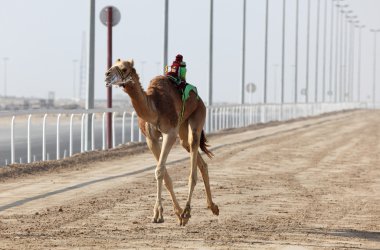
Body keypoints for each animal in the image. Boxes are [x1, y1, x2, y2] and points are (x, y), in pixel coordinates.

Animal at [104, 59, 220, 227]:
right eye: (113, 65)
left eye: (124, 68)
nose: (107, 74)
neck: (154, 108)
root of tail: (199, 99)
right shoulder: (150, 139)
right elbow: (164, 174)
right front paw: (177, 213)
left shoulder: (169, 133)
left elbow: (159, 170)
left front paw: (158, 214)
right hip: (182, 126)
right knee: (199, 160)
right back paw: (212, 207)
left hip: (198, 113)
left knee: (193, 151)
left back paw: (188, 211)